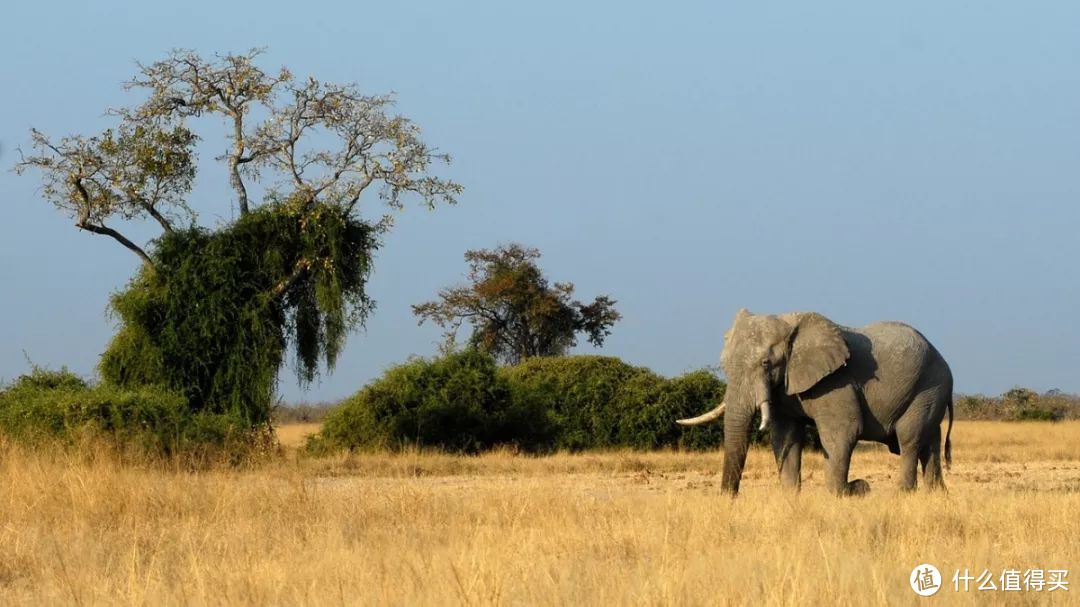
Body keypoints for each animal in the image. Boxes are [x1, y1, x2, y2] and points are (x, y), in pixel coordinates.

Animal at [678, 308, 950, 494]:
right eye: (723, 365)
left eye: (766, 363)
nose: (729, 499)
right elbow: (785, 435)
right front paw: (791, 498)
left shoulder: (835, 381)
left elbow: (843, 431)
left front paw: (848, 492)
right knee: (930, 443)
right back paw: (935, 494)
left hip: (928, 387)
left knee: (909, 438)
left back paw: (903, 493)